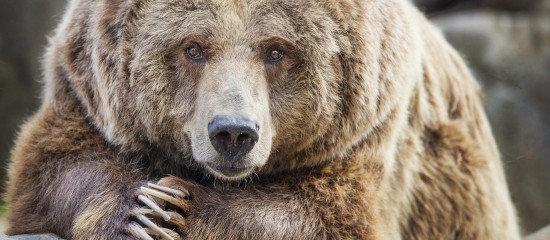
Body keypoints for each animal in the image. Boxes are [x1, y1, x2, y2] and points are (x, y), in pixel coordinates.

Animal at [3, 0, 520, 239]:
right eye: (194, 47)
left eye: (276, 50)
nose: (233, 132)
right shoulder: (83, 87)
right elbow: (55, 167)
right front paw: (144, 212)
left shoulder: (370, 127)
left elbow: (322, 215)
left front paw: (182, 209)